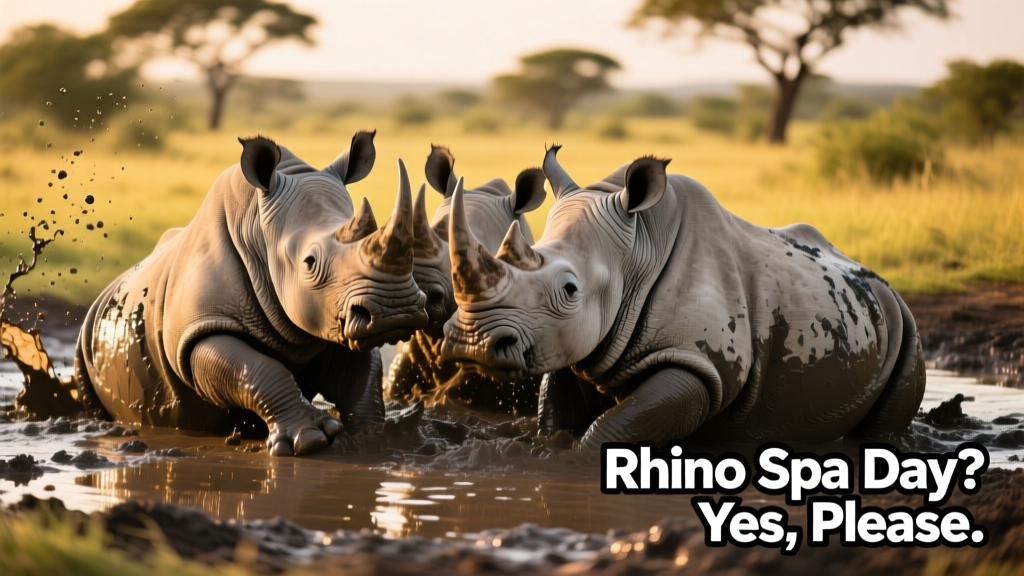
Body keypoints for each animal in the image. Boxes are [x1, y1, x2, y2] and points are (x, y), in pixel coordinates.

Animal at [74, 132, 428, 455]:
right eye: (310, 262)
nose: (395, 310)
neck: (257, 232)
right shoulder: (201, 329)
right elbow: (257, 368)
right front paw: (310, 440)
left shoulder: (335, 313)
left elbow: (363, 373)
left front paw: (378, 436)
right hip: (87, 338)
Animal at [442, 146, 926, 450]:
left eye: (569, 290)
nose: (472, 341)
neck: (637, 252)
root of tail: (885, 284)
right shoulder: (569, 343)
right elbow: (555, 415)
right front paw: (550, 450)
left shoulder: (701, 365)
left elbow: (610, 432)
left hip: (906, 325)